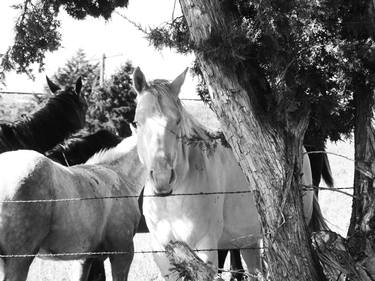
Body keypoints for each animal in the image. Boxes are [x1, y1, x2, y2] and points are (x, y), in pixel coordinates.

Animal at [131, 67, 320, 278]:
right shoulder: (162, 254)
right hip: (248, 240)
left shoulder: (205, 248)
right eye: (137, 122)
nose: (162, 179)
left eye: (177, 121)